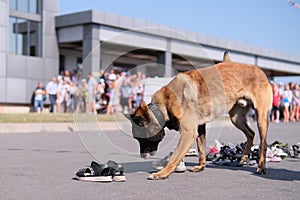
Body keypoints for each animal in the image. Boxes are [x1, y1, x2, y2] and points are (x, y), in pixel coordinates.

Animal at [125, 51, 274, 180]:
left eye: (140, 138)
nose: (142, 156)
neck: (164, 105)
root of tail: (259, 70)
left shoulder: (188, 133)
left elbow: (175, 156)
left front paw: (163, 173)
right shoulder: (200, 128)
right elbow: (201, 149)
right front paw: (201, 166)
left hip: (261, 118)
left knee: (263, 143)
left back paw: (261, 167)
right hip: (236, 119)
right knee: (251, 134)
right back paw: (244, 158)